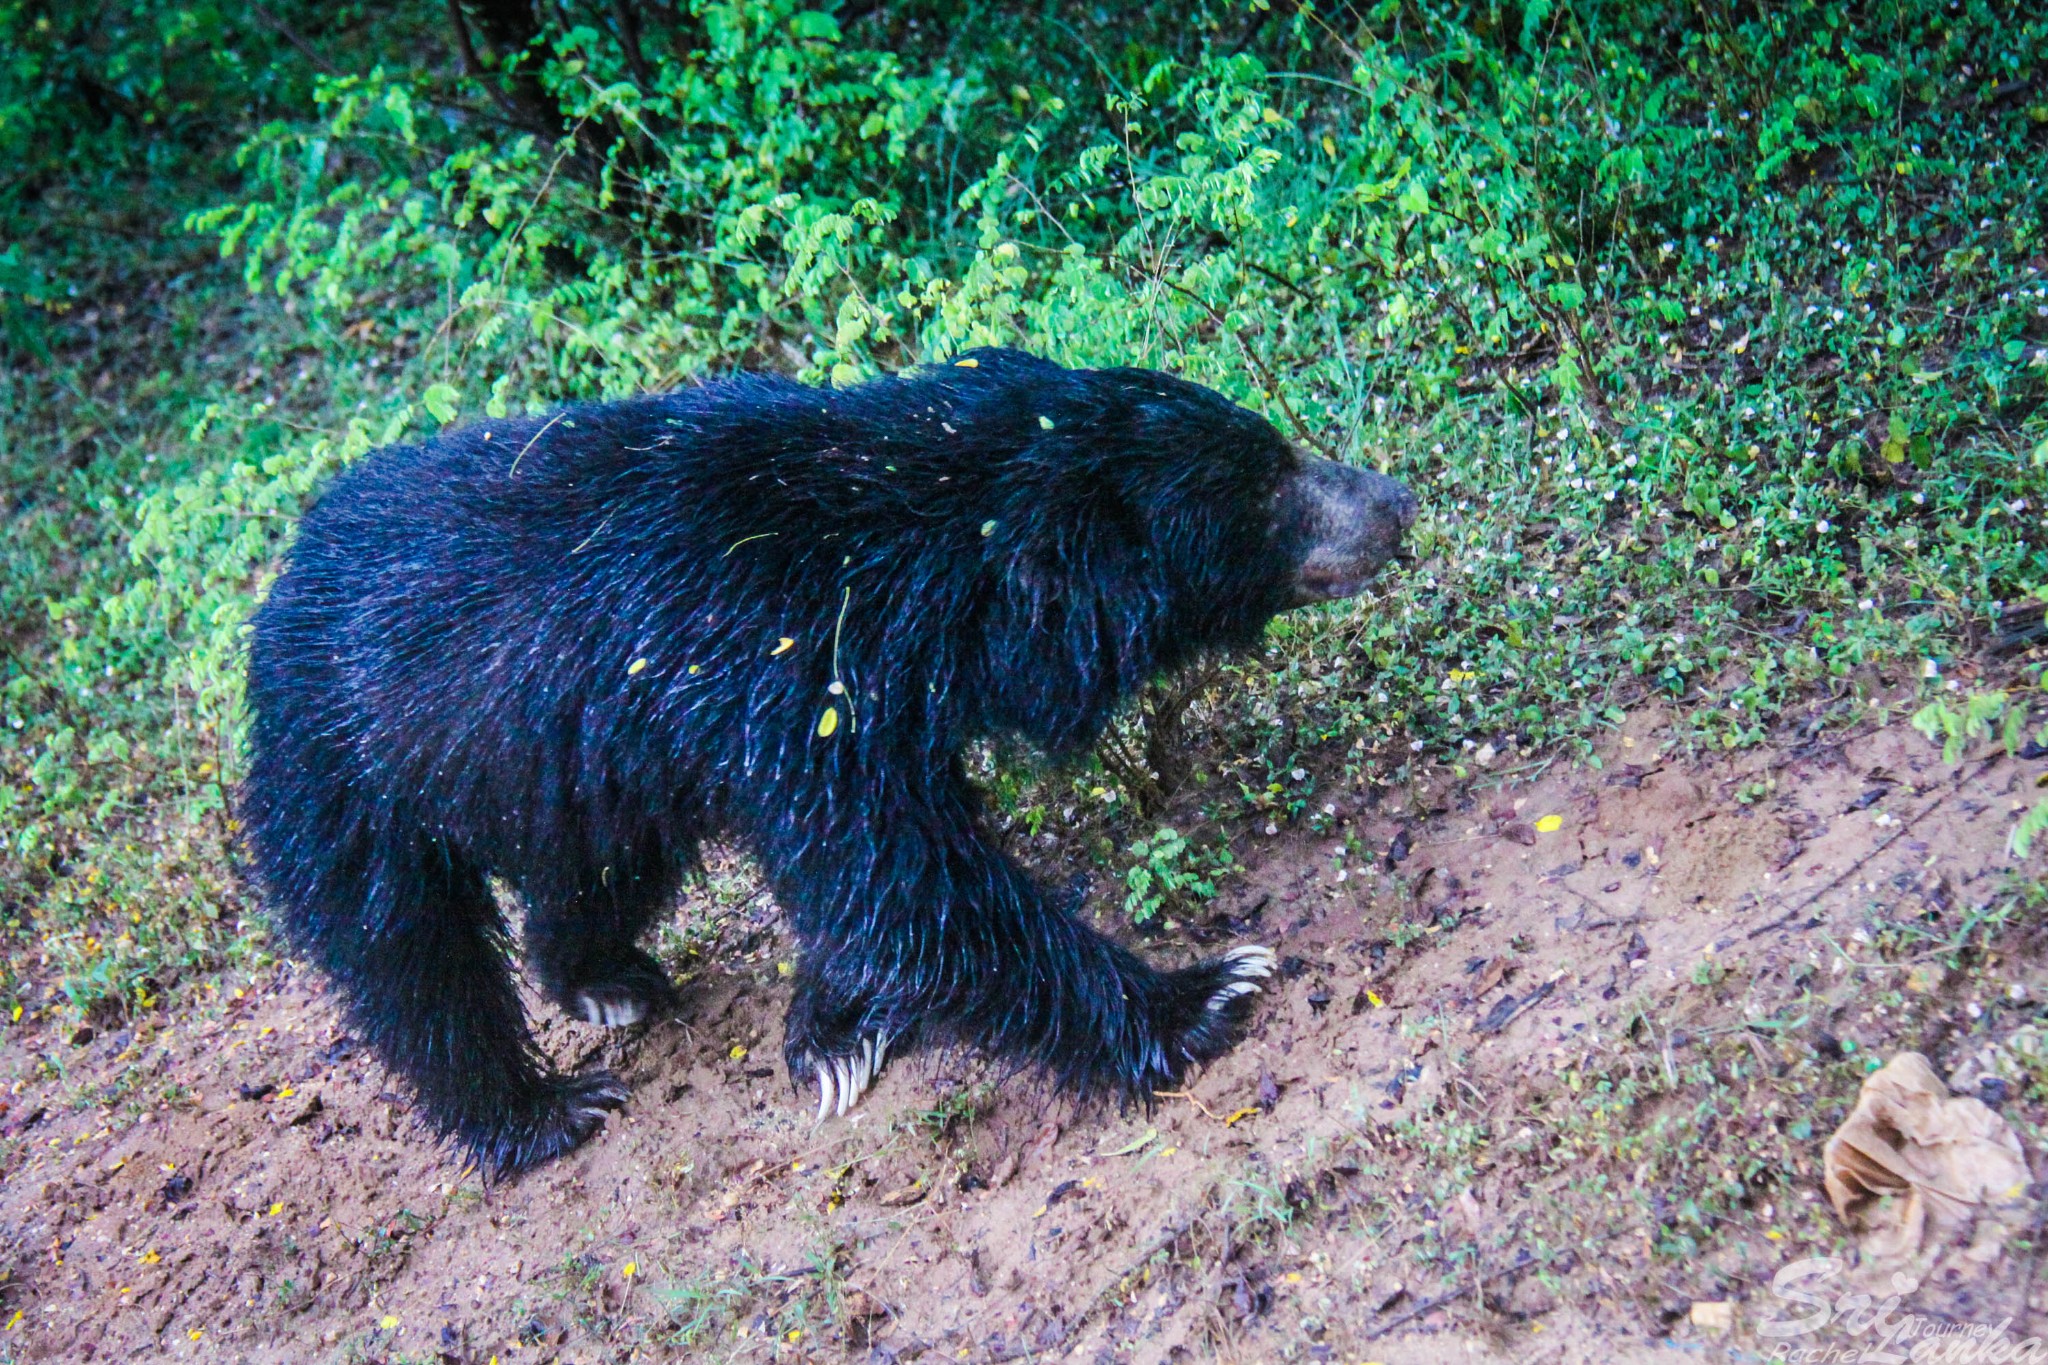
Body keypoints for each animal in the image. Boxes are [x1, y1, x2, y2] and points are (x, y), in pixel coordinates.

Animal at [243, 347, 1409, 1170]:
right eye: (1267, 485)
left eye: (1274, 447)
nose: (1395, 501)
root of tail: (277, 584)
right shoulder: (793, 677)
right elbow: (901, 877)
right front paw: (1209, 988)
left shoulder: (875, 705)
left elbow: (893, 871)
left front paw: (832, 1025)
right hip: (347, 769)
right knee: (413, 961)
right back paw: (543, 1110)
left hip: (588, 768)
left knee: (602, 870)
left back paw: (604, 978)